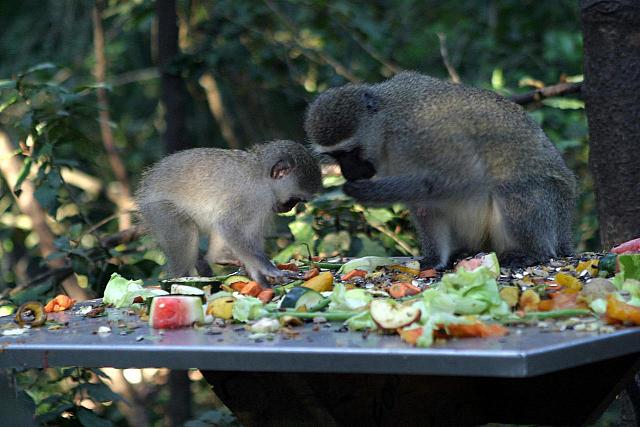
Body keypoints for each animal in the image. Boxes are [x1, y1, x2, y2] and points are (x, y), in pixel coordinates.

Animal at [135, 140, 322, 286]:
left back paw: (219, 258)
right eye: (293, 200)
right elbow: (228, 226)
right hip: (157, 210)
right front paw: (264, 268)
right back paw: (181, 280)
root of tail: (144, 190)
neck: (260, 173)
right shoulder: (254, 198)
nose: (289, 208)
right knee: (186, 232)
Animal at [304, 71, 576, 269]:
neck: (385, 130)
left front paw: (367, 193)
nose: (348, 172)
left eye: (352, 152)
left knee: (510, 188)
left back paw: (532, 252)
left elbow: (462, 176)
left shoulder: (421, 135)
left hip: (551, 214)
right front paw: (434, 260)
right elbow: (424, 205)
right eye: (336, 156)